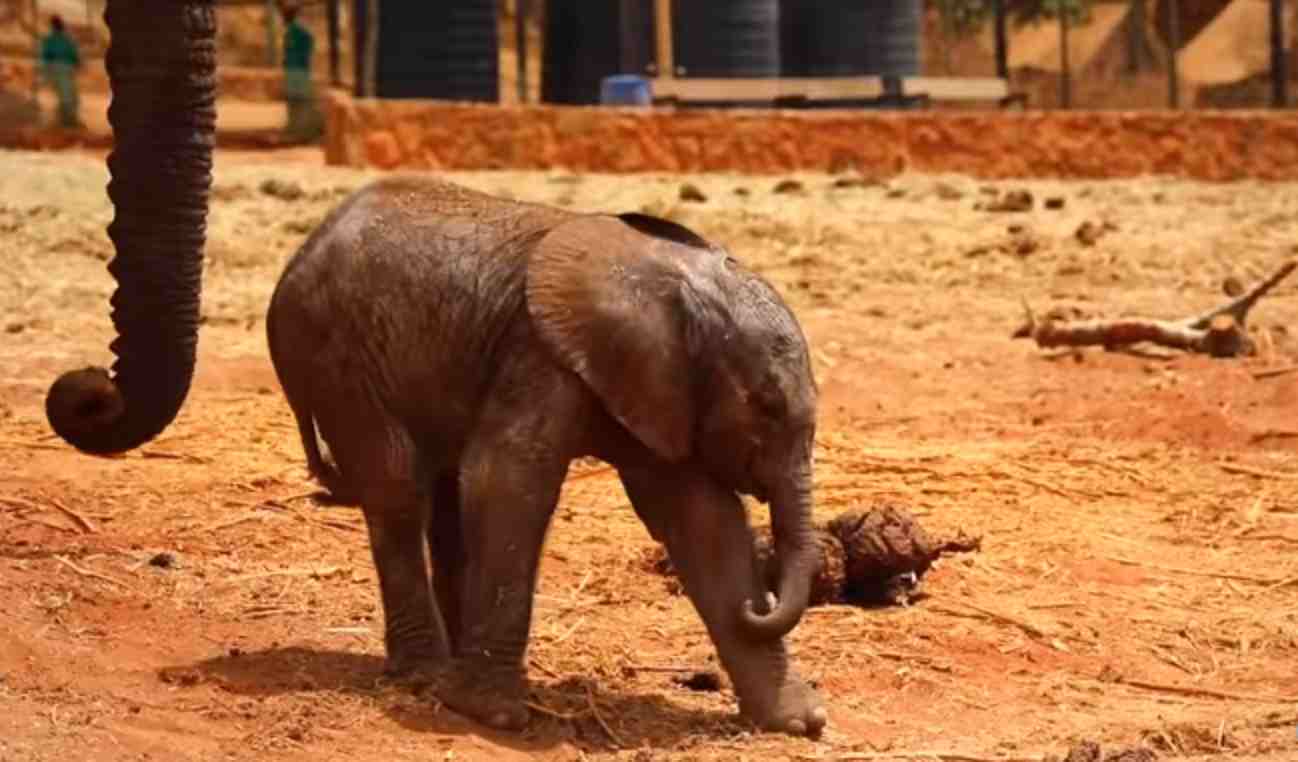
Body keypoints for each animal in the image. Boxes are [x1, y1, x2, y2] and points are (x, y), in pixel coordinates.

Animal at [262, 175, 828, 737]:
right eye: (767, 406)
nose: (758, 605)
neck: (668, 280)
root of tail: (301, 252)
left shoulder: (665, 388)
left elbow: (706, 522)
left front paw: (800, 723)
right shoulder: (538, 352)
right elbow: (507, 481)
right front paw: (492, 714)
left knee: (443, 500)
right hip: (336, 357)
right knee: (397, 491)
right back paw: (426, 675)